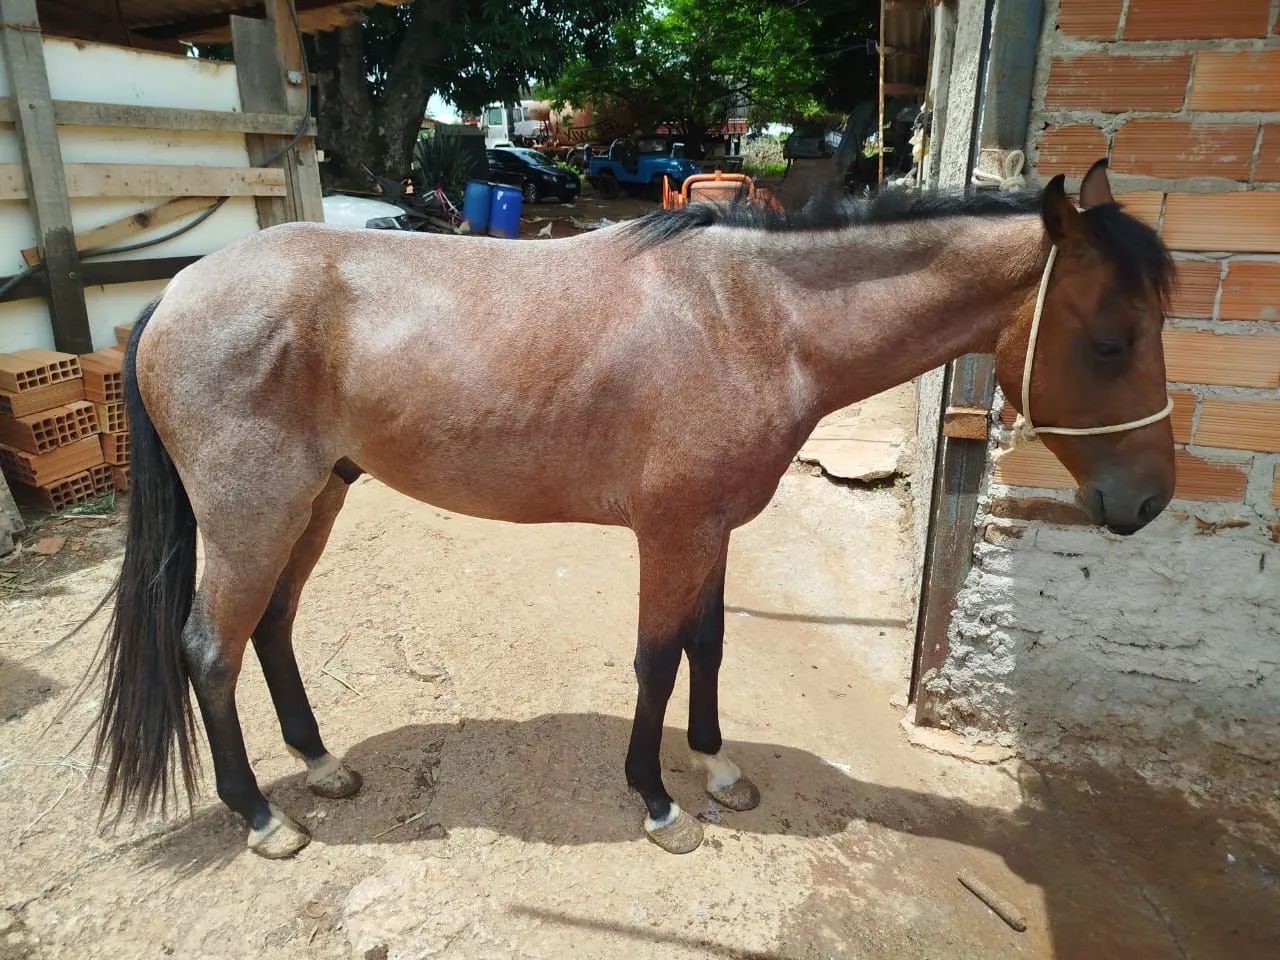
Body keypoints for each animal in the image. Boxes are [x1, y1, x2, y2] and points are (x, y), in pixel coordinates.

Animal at [92, 160, 1174, 858]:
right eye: (1111, 340)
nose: (1148, 500)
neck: (748, 316)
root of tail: (175, 294)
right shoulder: (671, 532)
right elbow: (656, 658)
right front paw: (657, 801)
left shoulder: (713, 530)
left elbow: (707, 645)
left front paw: (718, 768)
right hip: (254, 515)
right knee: (210, 650)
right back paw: (262, 819)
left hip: (314, 500)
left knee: (272, 626)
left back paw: (318, 765)